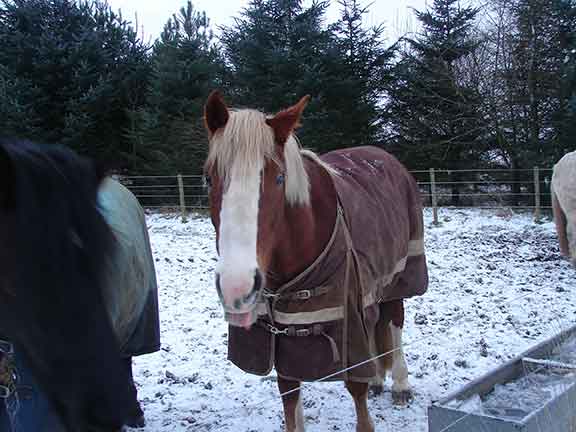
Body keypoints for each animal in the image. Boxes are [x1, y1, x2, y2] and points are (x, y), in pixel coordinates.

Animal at [202, 92, 428, 432]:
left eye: (279, 178)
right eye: (208, 178)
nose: (236, 287)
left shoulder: (346, 321)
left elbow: (357, 391)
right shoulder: (282, 334)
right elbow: (289, 396)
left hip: (398, 279)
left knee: (395, 323)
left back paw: (401, 385)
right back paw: (378, 379)